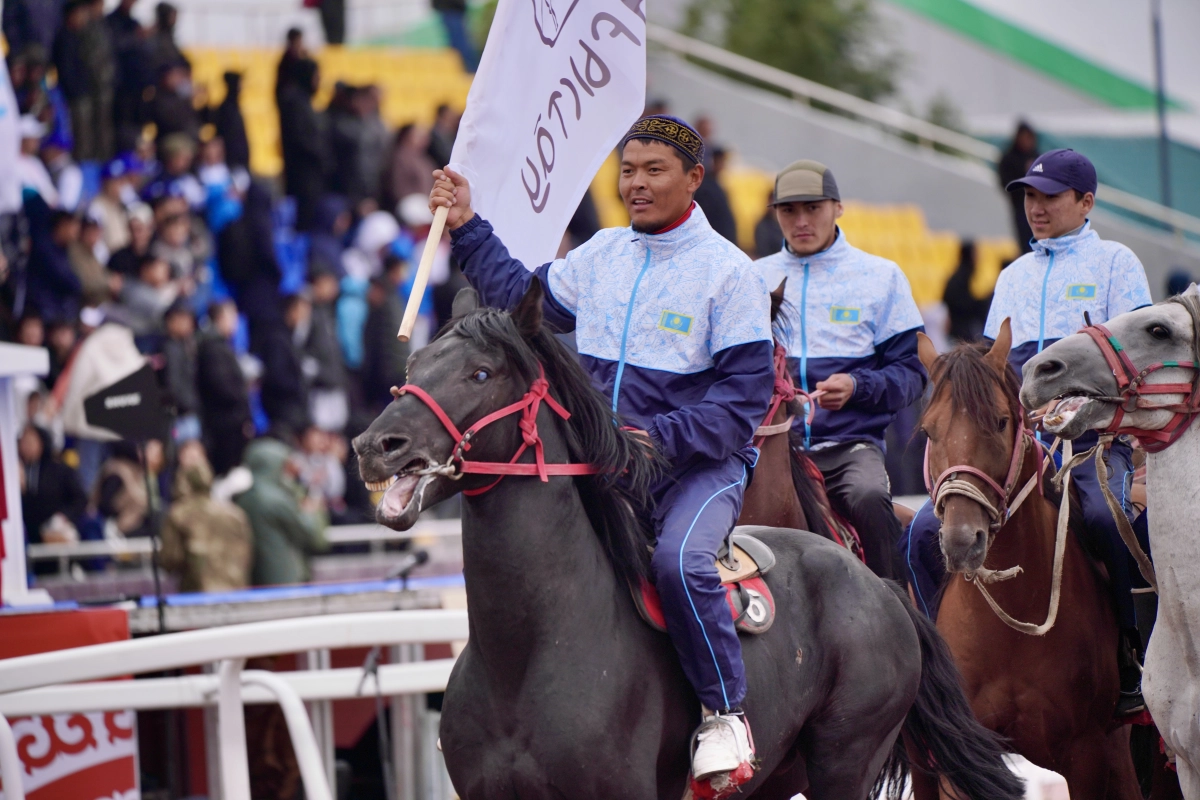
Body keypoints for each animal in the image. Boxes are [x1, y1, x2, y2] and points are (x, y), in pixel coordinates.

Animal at [350, 284, 1017, 796]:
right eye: (412, 369)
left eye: (481, 373)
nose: (374, 446)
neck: (528, 649)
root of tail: (881, 588)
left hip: (845, 760)